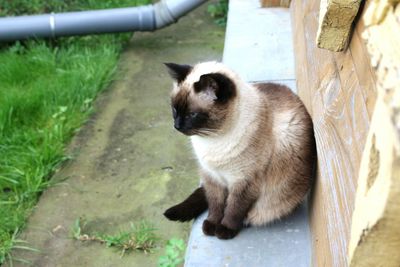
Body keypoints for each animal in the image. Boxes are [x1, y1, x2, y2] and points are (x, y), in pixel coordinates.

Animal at [162, 61, 316, 241]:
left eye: (192, 115)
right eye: (174, 109)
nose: (177, 126)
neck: (212, 140)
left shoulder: (244, 182)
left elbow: (234, 209)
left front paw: (224, 230)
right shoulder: (212, 177)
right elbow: (215, 205)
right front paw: (211, 225)